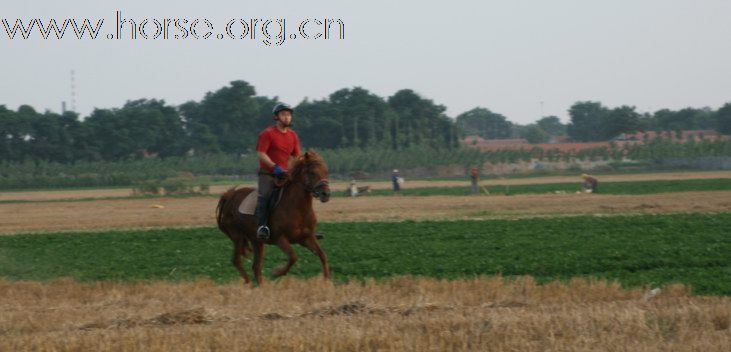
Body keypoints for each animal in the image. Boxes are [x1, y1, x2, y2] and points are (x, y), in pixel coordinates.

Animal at [216, 150, 334, 284]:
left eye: (326, 171)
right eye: (312, 172)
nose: (326, 194)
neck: (299, 209)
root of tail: (230, 195)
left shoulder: (307, 238)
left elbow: (322, 255)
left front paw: (327, 281)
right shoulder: (280, 239)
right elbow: (293, 257)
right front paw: (277, 272)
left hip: (256, 240)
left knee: (256, 266)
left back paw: (261, 286)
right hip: (238, 236)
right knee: (237, 261)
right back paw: (248, 283)